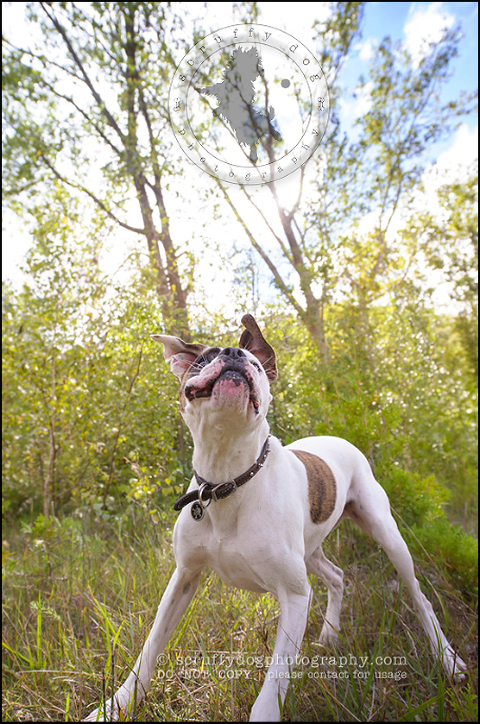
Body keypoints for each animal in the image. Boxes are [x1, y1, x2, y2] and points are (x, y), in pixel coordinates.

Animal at [85, 314, 464, 720]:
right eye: (204, 359)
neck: (228, 480)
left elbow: (273, 686)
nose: (235, 354)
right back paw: (330, 634)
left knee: (419, 596)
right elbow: (150, 649)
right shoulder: (183, 578)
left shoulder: (294, 596)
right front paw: (115, 706)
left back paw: (448, 659)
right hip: (311, 550)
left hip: (387, 535)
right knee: (337, 576)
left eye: (254, 361)